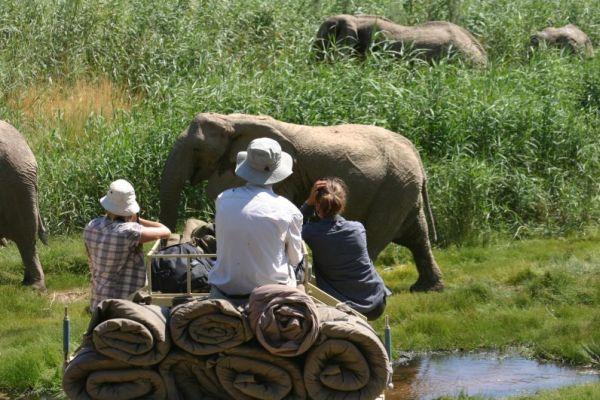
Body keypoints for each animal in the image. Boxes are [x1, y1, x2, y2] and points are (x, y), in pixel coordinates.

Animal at [162, 111, 442, 290]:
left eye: (197, 149)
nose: (169, 245)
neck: (232, 120)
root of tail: (415, 153)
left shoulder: (285, 174)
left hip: (393, 188)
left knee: (376, 235)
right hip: (403, 186)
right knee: (415, 235)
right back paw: (426, 288)